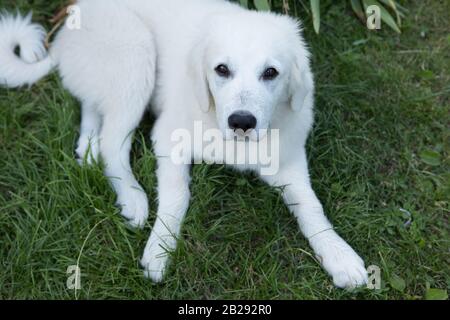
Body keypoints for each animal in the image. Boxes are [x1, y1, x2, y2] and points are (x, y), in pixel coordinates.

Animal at [0, 0, 370, 288]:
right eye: (221, 70)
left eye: (271, 73)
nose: (242, 122)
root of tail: (67, 27)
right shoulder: (168, 138)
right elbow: (177, 197)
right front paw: (159, 249)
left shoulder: (289, 162)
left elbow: (312, 208)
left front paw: (340, 255)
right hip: (136, 52)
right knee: (112, 144)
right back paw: (132, 198)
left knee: (93, 109)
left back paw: (86, 147)